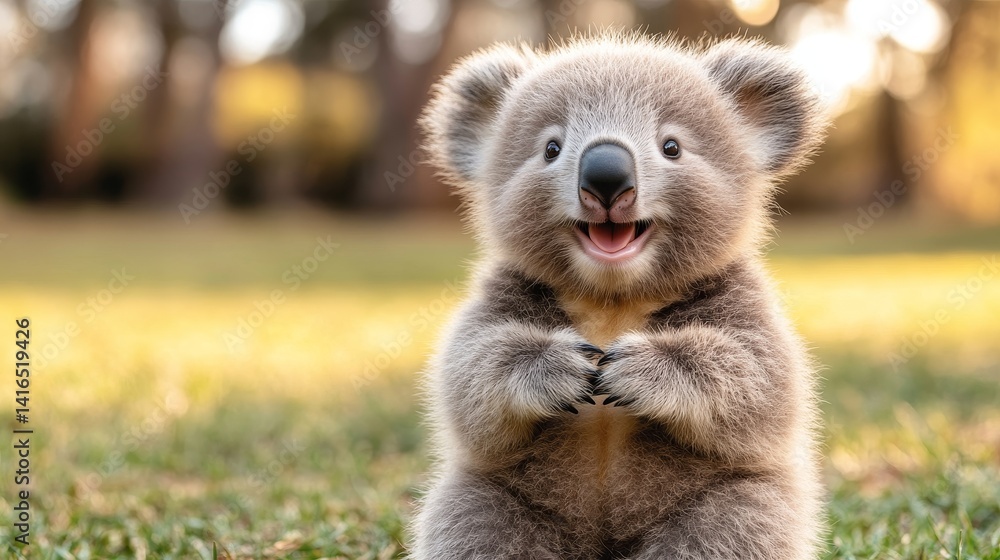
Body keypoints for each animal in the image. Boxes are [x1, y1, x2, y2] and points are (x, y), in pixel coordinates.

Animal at [412, 33, 828, 560]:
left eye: (671, 147)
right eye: (551, 148)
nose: (606, 176)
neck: (613, 300)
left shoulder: (741, 300)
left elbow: (762, 382)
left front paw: (633, 371)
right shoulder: (503, 295)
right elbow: (468, 379)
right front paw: (563, 368)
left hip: (732, 504)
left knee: (730, 527)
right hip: (490, 503)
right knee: (478, 526)